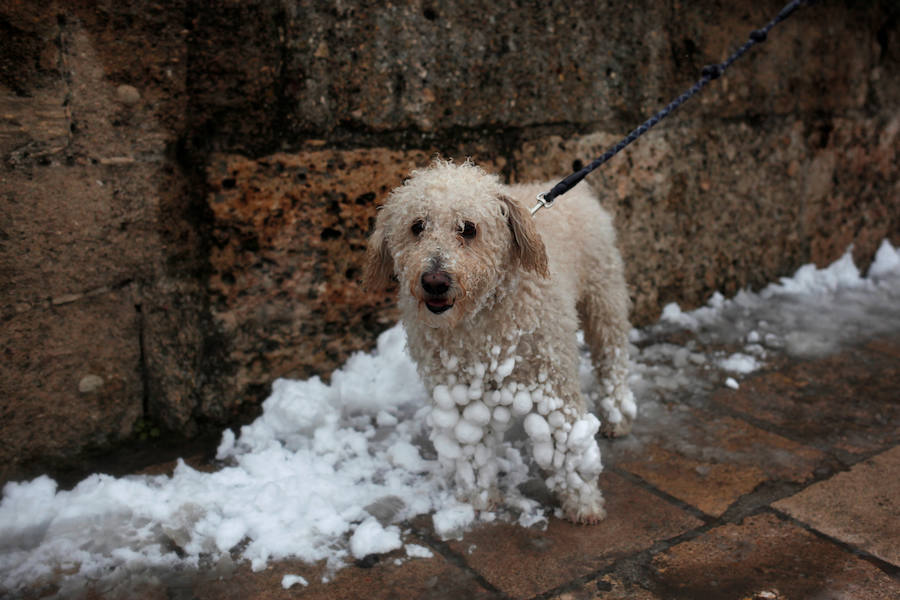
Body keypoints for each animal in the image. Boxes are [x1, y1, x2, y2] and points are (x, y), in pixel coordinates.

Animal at [364, 159, 632, 524]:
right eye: (417, 226)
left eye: (468, 229)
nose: (435, 281)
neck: (482, 317)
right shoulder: (457, 392)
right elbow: (470, 449)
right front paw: (478, 499)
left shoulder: (552, 382)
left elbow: (566, 446)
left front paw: (583, 502)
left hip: (604, 299)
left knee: (612, 359)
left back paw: (617, 416)